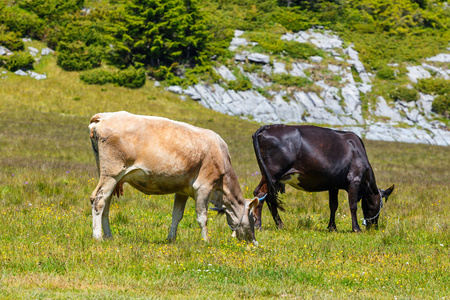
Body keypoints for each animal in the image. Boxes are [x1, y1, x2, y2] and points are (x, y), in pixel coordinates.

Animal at [89, 111, 256, 245]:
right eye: (254, 217)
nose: (255, 242)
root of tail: (104, 116)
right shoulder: (204, 187)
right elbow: (202, 217)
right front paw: (207, 241)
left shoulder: (182, 190)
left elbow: (177, 215)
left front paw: (171, 239)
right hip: (112, 173)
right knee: (99, 200)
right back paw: (98, 237)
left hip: (107, 174)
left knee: (106, 203)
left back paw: (109, 236)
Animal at [253, 124, 394, 232]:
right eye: (380, 205)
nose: (374, 227)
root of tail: (267, 127)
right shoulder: (354, 179)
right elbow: (353, 205)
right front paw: (356, 229)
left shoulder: (333, 185)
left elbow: (333, 205)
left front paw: (332, 227)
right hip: (273, 173)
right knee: (261, 193)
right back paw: (259, 226)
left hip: (271, 177)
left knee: (269, 197)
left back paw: (280, 225)